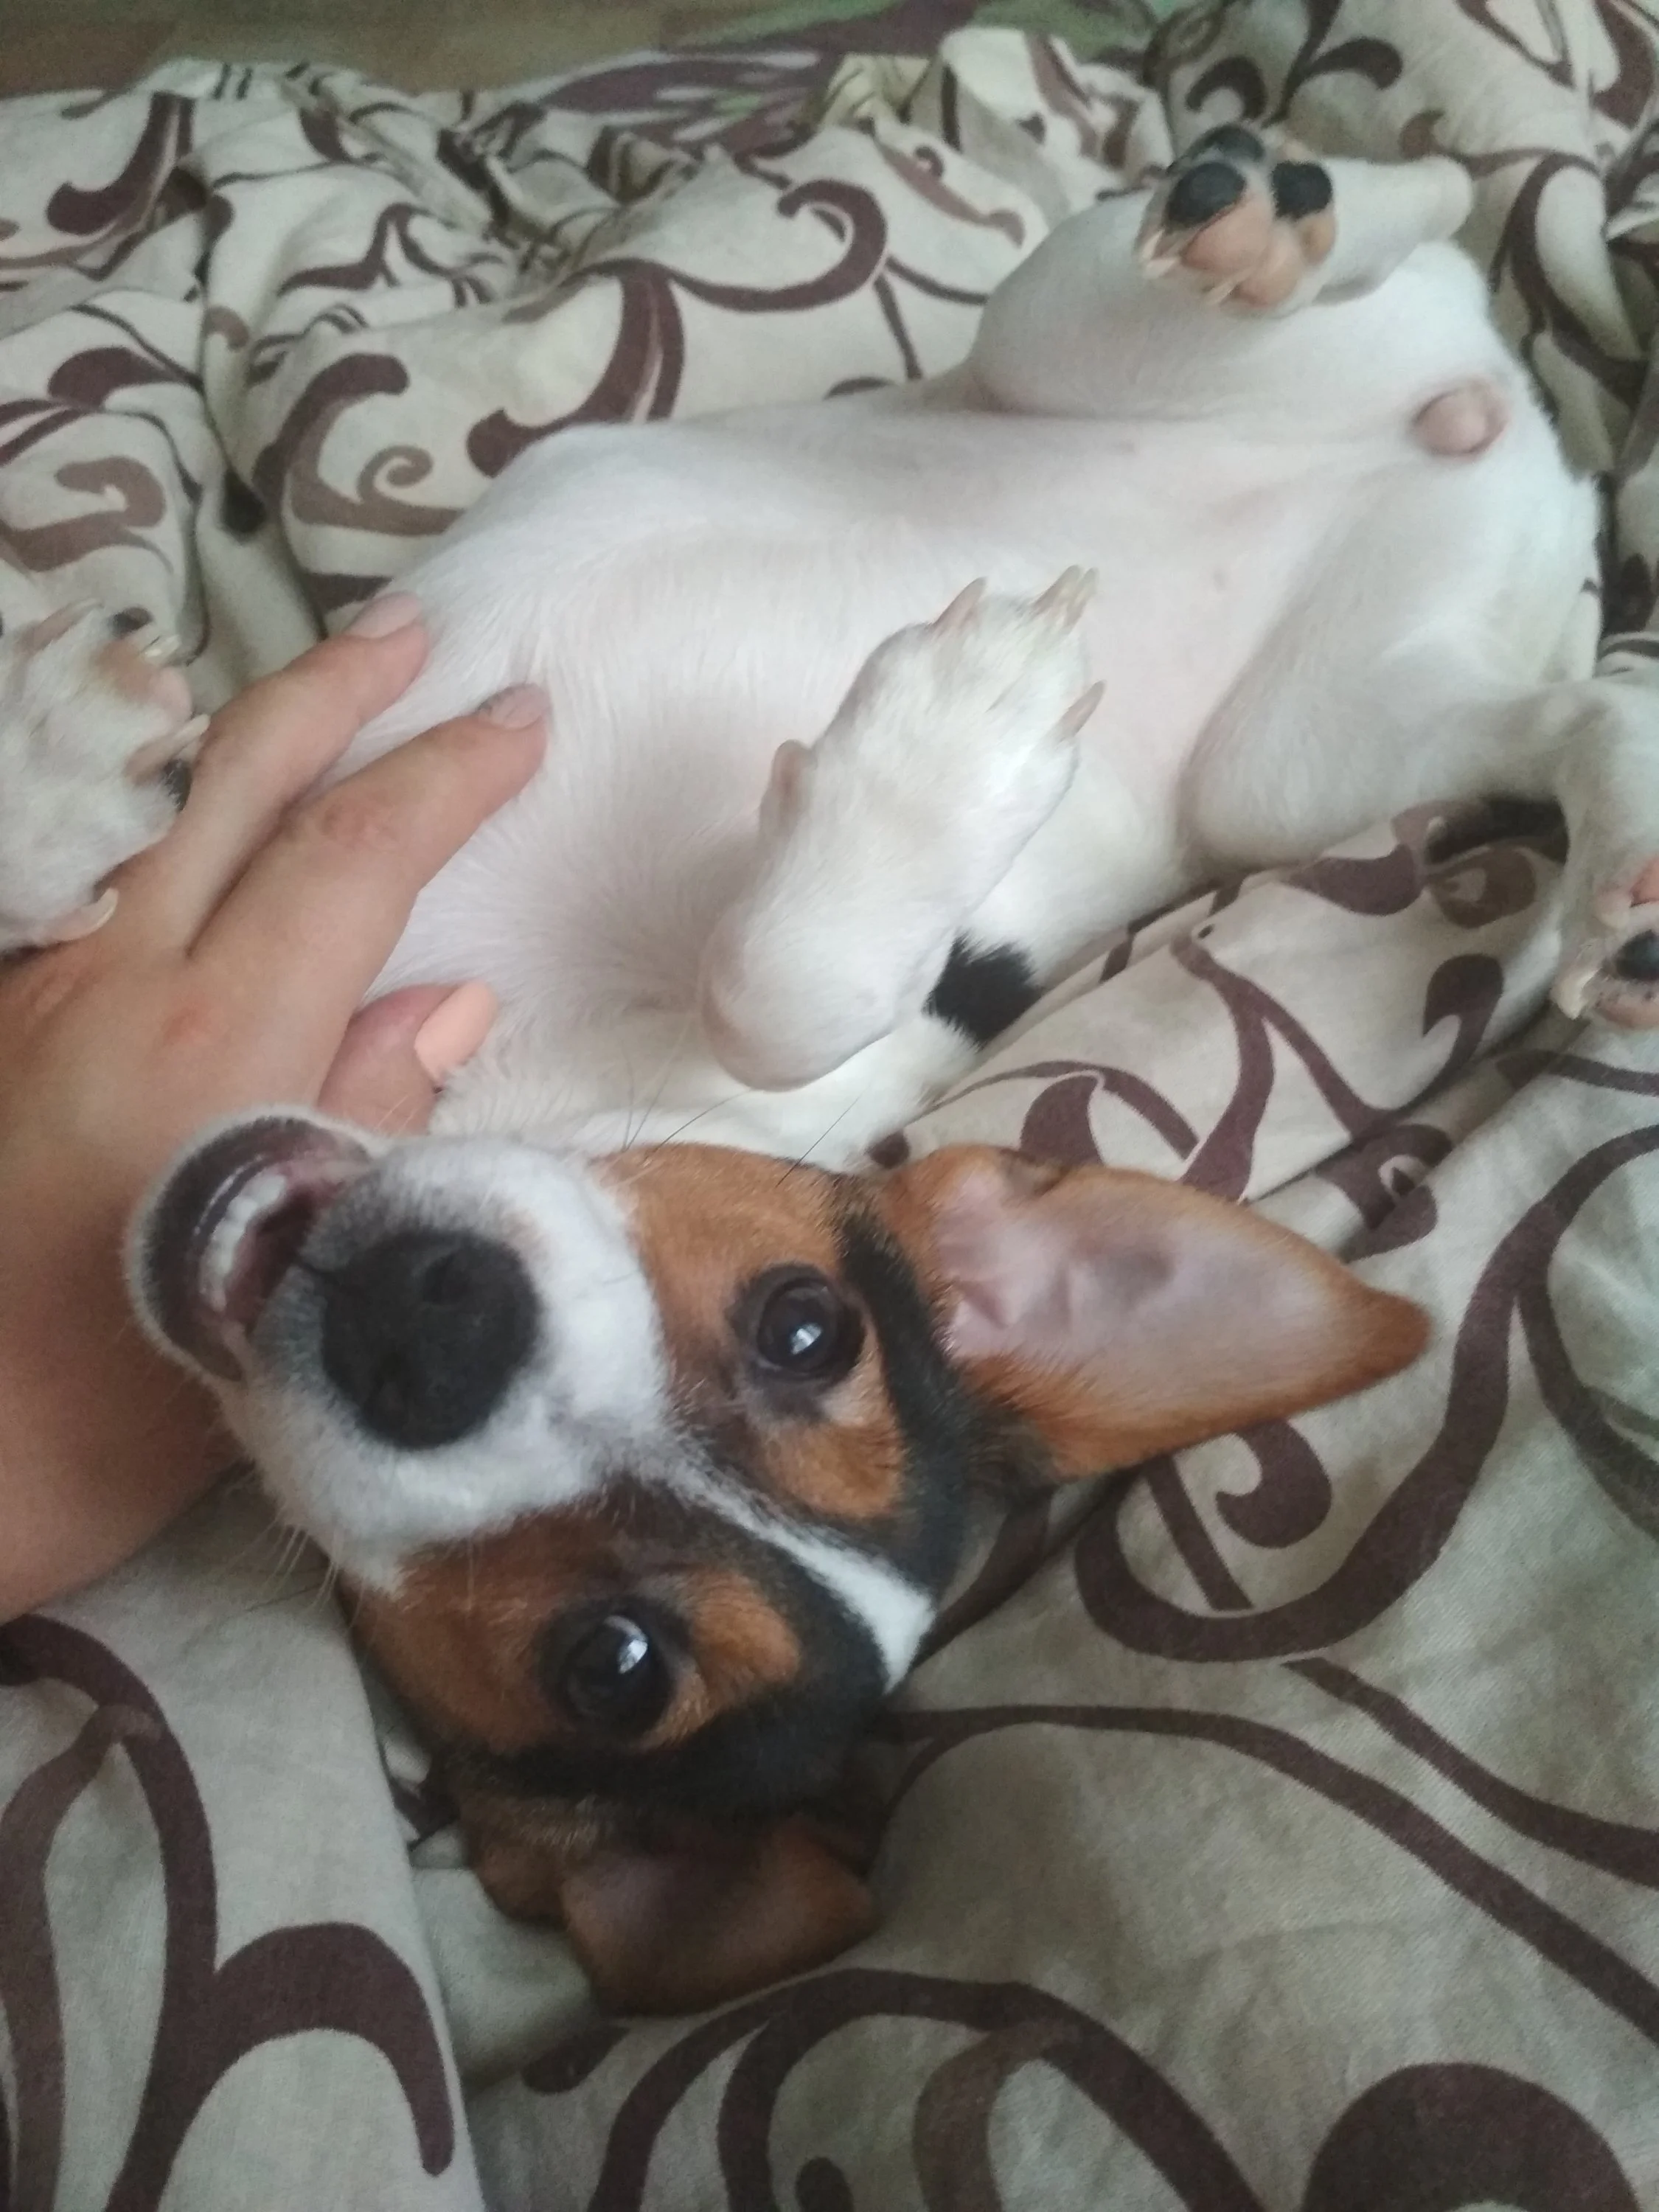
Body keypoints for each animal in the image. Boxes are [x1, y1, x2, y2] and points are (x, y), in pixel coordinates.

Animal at [10, 130, 1638, 2007]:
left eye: (620, 1666)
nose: (434, 1332)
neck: (533, 1070)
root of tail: (1488, 425)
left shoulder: (849, 1033)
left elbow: (776, 986)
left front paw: (943, 755)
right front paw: (61, 781)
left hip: (1239, 639)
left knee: (1406, 335)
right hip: (1267, 680)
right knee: (1492, 524)